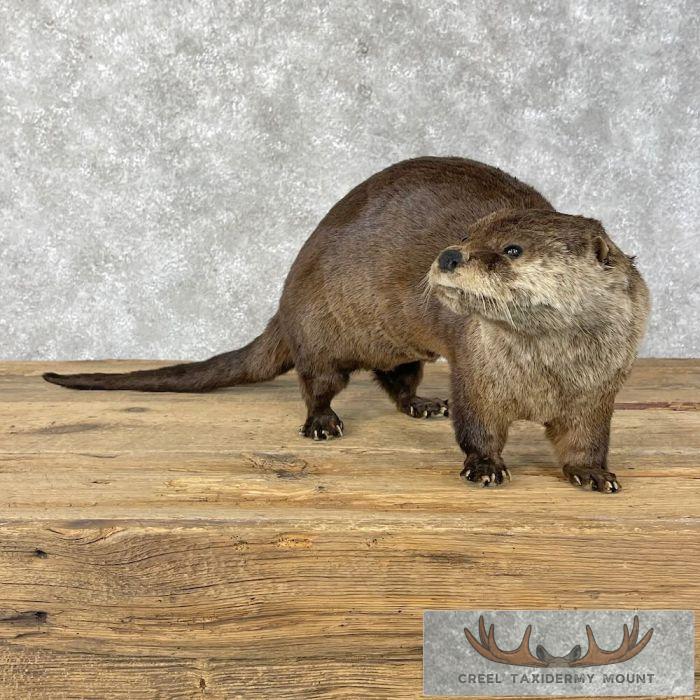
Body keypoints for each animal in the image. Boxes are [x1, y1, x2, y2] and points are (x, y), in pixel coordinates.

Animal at [43, 157, 650, 492]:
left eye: (512, 249)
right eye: (467, 234)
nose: (449, 255)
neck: (548, 369)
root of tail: (286, 301)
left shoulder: (599, 390)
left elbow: (586, 441)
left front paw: (594, 474)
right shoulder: (476, 372)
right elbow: (478, 428)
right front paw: (484, 466)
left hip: (397, 349)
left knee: (398, 379)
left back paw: (423, 405)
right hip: (319, 332)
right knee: (317, 381)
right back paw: (322, 422)